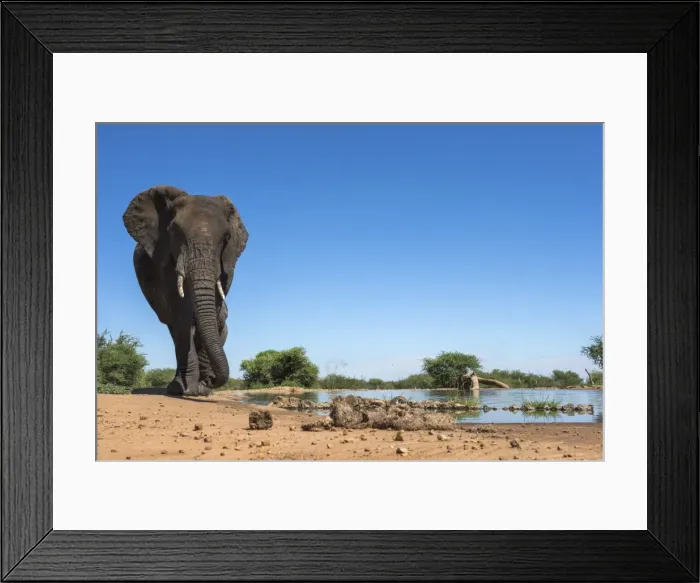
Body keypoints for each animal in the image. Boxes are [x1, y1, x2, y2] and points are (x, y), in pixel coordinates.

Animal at [123, 185, 249, 396]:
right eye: (174, 233)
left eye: (226, 237)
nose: (211, 380)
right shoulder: (164, 258)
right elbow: (180, 311)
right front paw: (186, 390)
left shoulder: (228, 261)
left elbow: (213, 309)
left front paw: (201, 389)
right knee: (174, 328)